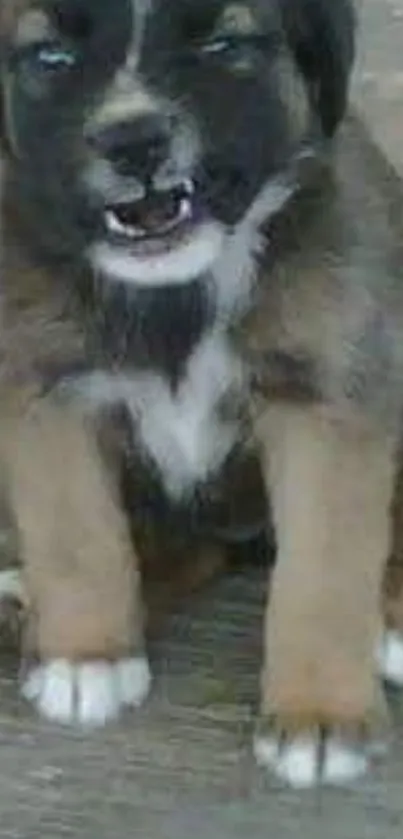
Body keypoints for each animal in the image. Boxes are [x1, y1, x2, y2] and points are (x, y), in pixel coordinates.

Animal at [3, 0, 403, 788]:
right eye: (51, 58)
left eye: (222, 44)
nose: (133, 139)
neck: (176, 292)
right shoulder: (45, 388)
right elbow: (76, 532)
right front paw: (86, 655)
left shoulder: (327, 396)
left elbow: (323, 567)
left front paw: (320, 715)